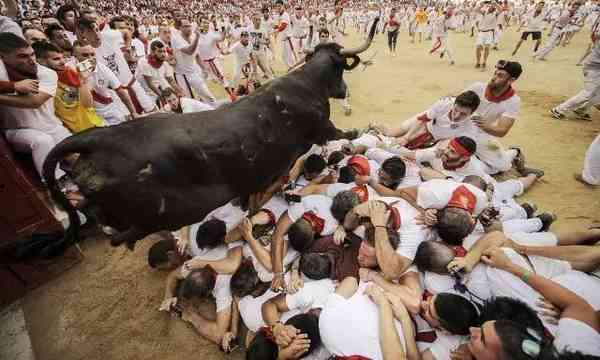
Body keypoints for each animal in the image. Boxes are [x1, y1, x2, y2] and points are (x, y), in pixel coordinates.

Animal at [43, 19, 380, 253]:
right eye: (340, 68)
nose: (343, 91)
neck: (305, 84)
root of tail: (98, 138)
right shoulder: (322, 128)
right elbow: (343, 133)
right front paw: (361, 130)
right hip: (161, 213)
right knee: (118, 230)